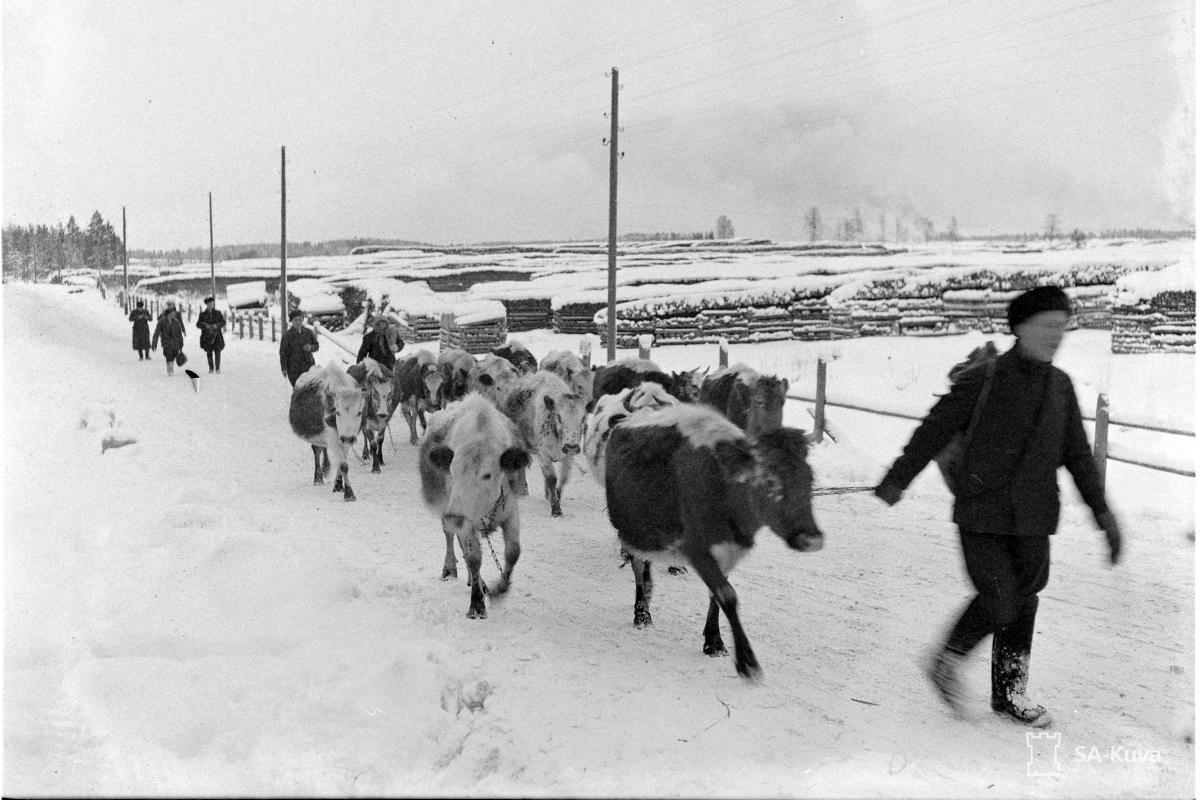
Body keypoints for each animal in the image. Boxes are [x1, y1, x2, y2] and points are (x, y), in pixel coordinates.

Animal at [289, 364, 364, 501]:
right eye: (338, 412)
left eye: (359, 412)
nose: (348, 438)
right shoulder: (333, 437)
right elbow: (343, 464)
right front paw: (349, 494)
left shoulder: (345, 440)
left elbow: (341, 462)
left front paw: (338, 486)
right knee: (316, 450)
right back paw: (318, 478)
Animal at [422, 393, 535, 618]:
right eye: (452, 470)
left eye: (487, 474)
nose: (454, 516)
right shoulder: (465, 522)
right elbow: (474, 558)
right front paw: (476, 605)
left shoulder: (511, 512)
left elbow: (513, 552)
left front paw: (500, 588)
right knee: (451, 539)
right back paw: (451, 569)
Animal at [499, 371, 588, 515]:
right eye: (559, 417)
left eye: (583, 418)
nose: (571, 446)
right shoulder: (543, 453)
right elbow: (551, 478)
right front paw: (556, 509)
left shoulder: (568, 456)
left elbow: (563, 478)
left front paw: (555, 497)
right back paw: (522, 491)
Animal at [609, 402, 825, 681]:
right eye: (770, 480)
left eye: (810, 479)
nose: (812, 539)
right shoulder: (696, 549)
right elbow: (727, 595)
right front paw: (746, 661)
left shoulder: (729, 551)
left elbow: (716, 595)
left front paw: (713, 641)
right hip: (633, 530)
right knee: (638, 564)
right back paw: (641, 612)